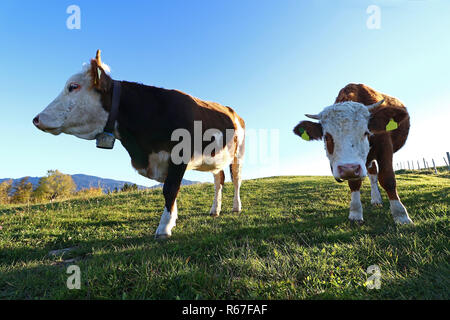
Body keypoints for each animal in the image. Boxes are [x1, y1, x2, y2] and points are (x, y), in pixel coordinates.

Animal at [294, 84, 414, 226]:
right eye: (326, 136)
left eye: (366, 132)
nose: (348, 168)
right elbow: (354, 183)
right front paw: (355, 213)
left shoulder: (385, 146)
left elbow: (388, 178)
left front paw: (401, 215)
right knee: (372, 175)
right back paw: (376, 199)